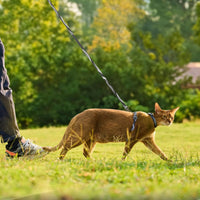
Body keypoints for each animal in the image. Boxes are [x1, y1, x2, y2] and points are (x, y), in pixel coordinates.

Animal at [43, 103, 179, 161]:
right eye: (164, 116)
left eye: (172, 117)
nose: (170, 121)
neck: (152, 120)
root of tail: (77, 115)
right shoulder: (132, 139)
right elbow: (125, 152)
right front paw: (122, 162)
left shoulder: (148, 140)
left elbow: (160, 152)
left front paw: (169, 161)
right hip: (80, 136)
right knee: (65, 147)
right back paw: (60, 160)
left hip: (91, 139)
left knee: (85, 152)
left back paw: (94, 161)